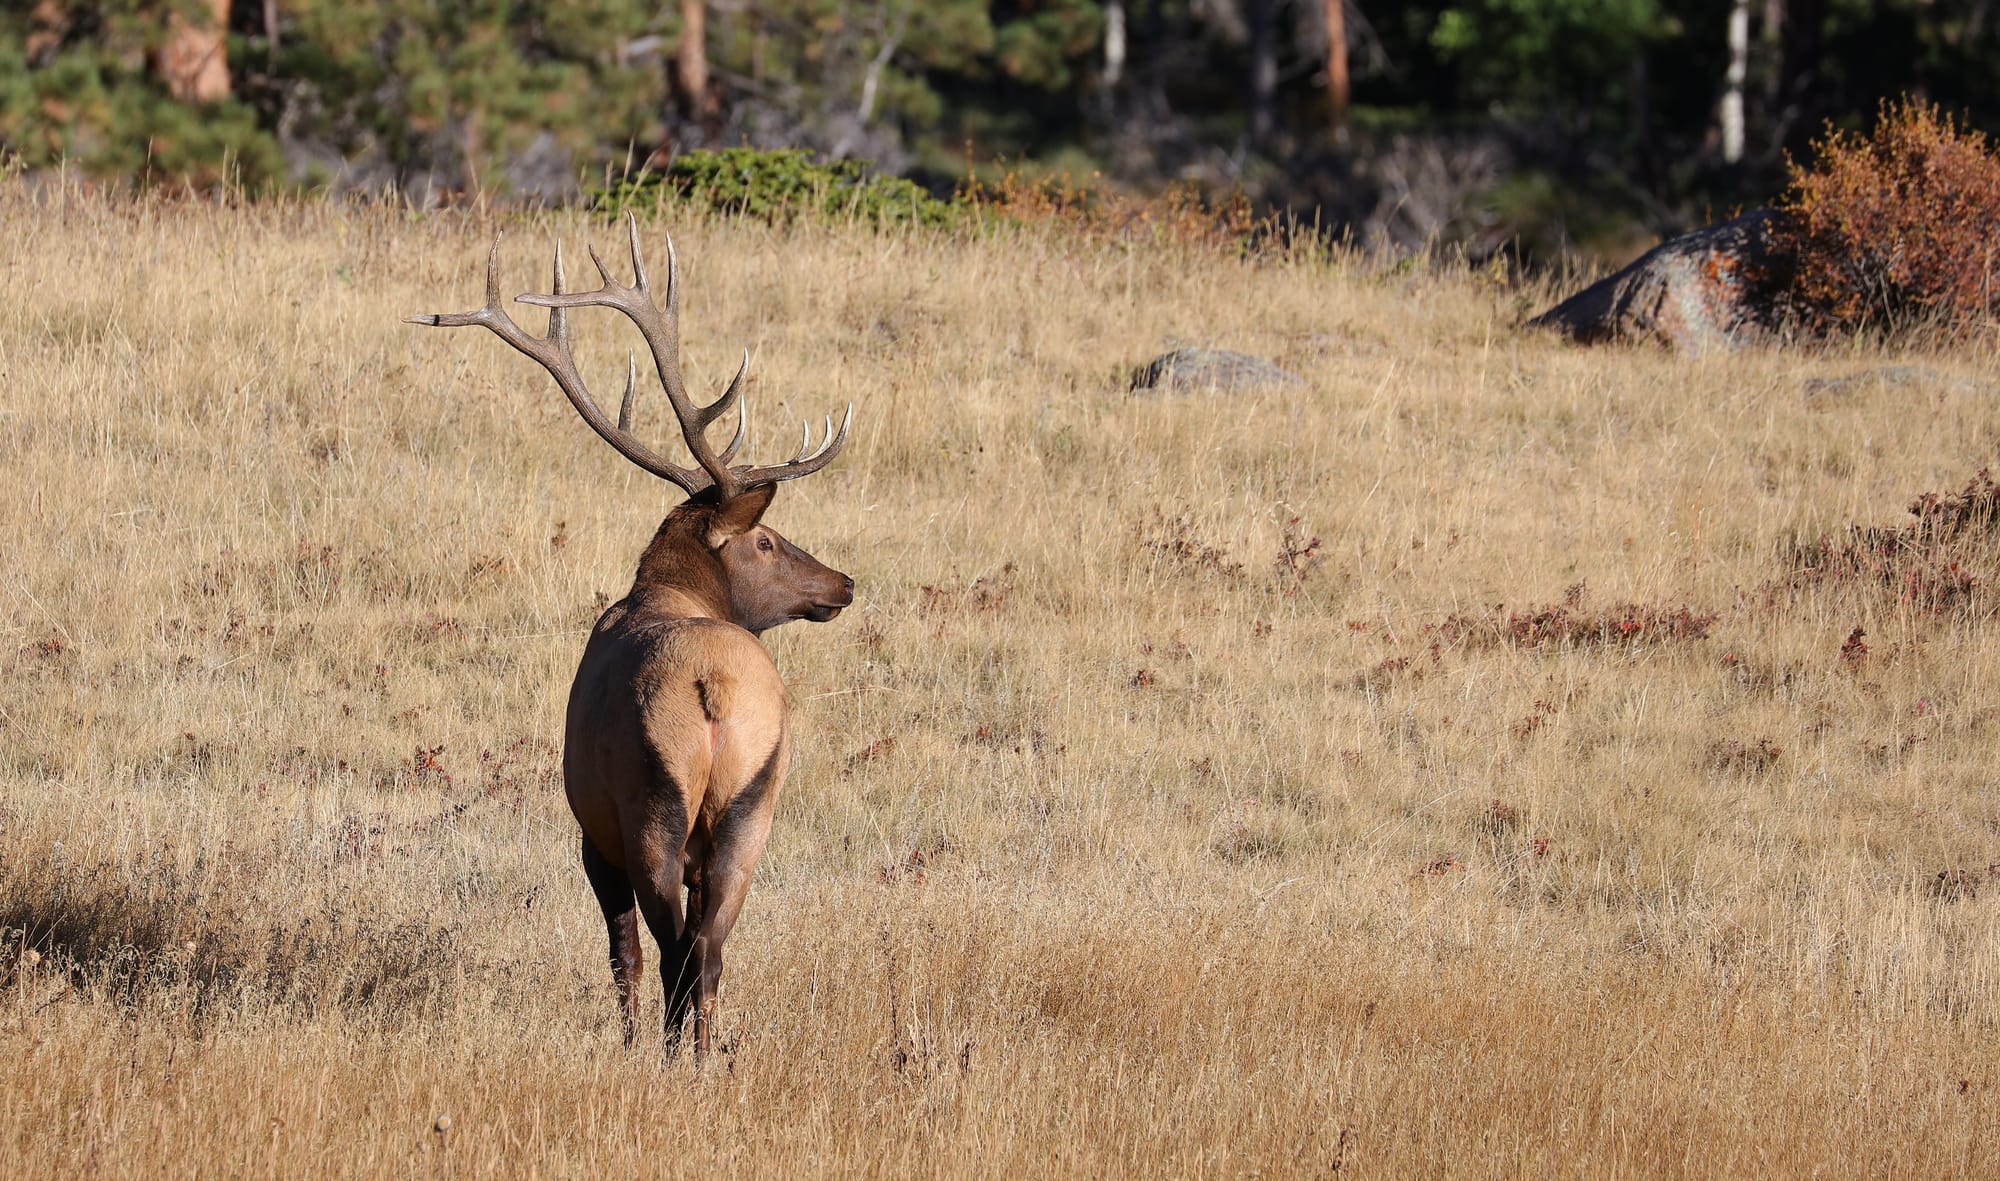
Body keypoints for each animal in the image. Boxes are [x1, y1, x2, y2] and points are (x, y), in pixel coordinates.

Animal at [410, 217, 856, 1056]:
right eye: (768, 540)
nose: (843, 582)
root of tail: (714, 688)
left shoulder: (593, 832)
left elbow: (623, 953)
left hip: (653, 805)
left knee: (676, 947)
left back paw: (670, 1055)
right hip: (751, 802)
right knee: (709, 948)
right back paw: (703, 1056)